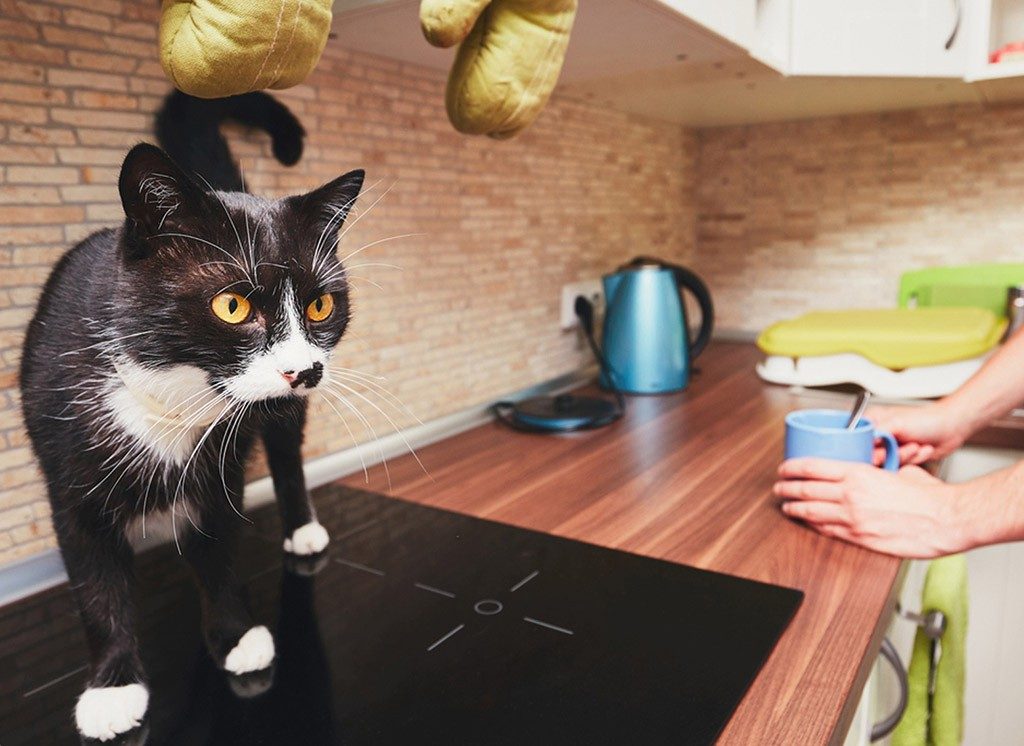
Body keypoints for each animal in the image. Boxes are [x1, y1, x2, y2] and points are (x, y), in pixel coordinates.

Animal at [20, 91, 364, 740]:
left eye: (320, 305)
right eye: (232, 306)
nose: (303, 370)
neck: (175, 395)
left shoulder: (222, 467)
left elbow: (217, 546)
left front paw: (234, 636)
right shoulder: (68, 474)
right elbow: (93, 580)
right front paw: (113, 686)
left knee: (286, 452)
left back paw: (302, 527)